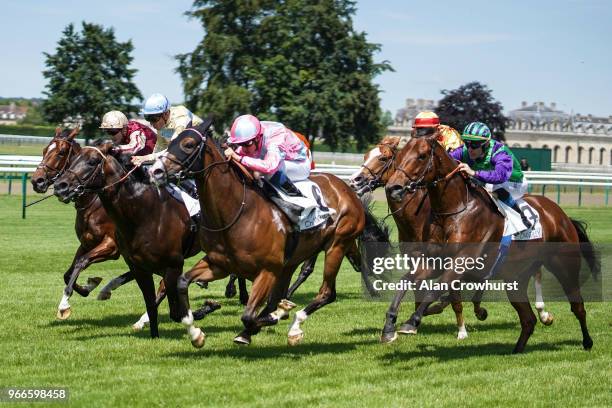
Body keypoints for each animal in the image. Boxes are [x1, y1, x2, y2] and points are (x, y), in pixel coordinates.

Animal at [52, 141, 208, 338]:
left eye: (92, 161)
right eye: (72, 160)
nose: (60, 186)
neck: (144, 213)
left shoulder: (115, 248)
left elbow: (174, 309)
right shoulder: (128, 261)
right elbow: (74, 269)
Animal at [149, 121, 382, 348]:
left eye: (188, 144)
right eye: (171, 142)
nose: (156, 171)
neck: (237, 210)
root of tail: (348, 189)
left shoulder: (267, 270)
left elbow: (249, 316)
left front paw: (278, 316)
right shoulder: (219, 264)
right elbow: (181, 282)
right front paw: (196, 333)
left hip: (337, 244)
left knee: (326, 293)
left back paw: (294, 326)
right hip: (292, 260)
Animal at [382, 135, 596, 352]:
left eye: (422, 156)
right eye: (399, 156)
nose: (393, 188)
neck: (455, 210)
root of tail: (561, 215)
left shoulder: (462, 262)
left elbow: (438, 287)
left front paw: (412, 321)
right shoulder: (433, 262)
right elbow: (405, 281)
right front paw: (389, 327)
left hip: (565, 266)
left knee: (577, 306)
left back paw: (586, 342)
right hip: (515, 278)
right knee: (528, 319)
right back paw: (516, 350)